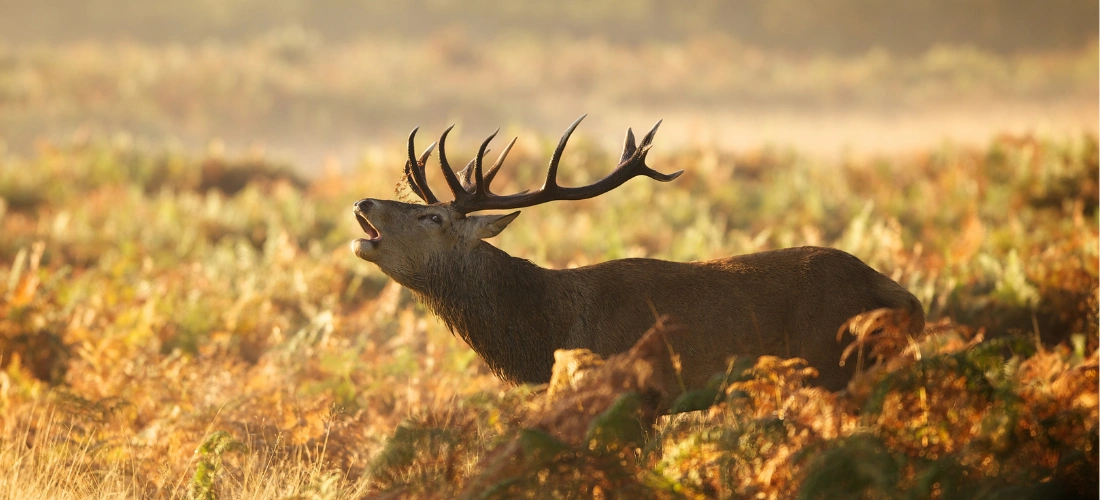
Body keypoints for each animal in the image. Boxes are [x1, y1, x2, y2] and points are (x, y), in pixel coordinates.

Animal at [350, 116, 925, 411]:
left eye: (432, 216)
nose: (363, 203)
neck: (551, 333)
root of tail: (900, 296)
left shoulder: (638, 399)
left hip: (836, 365)